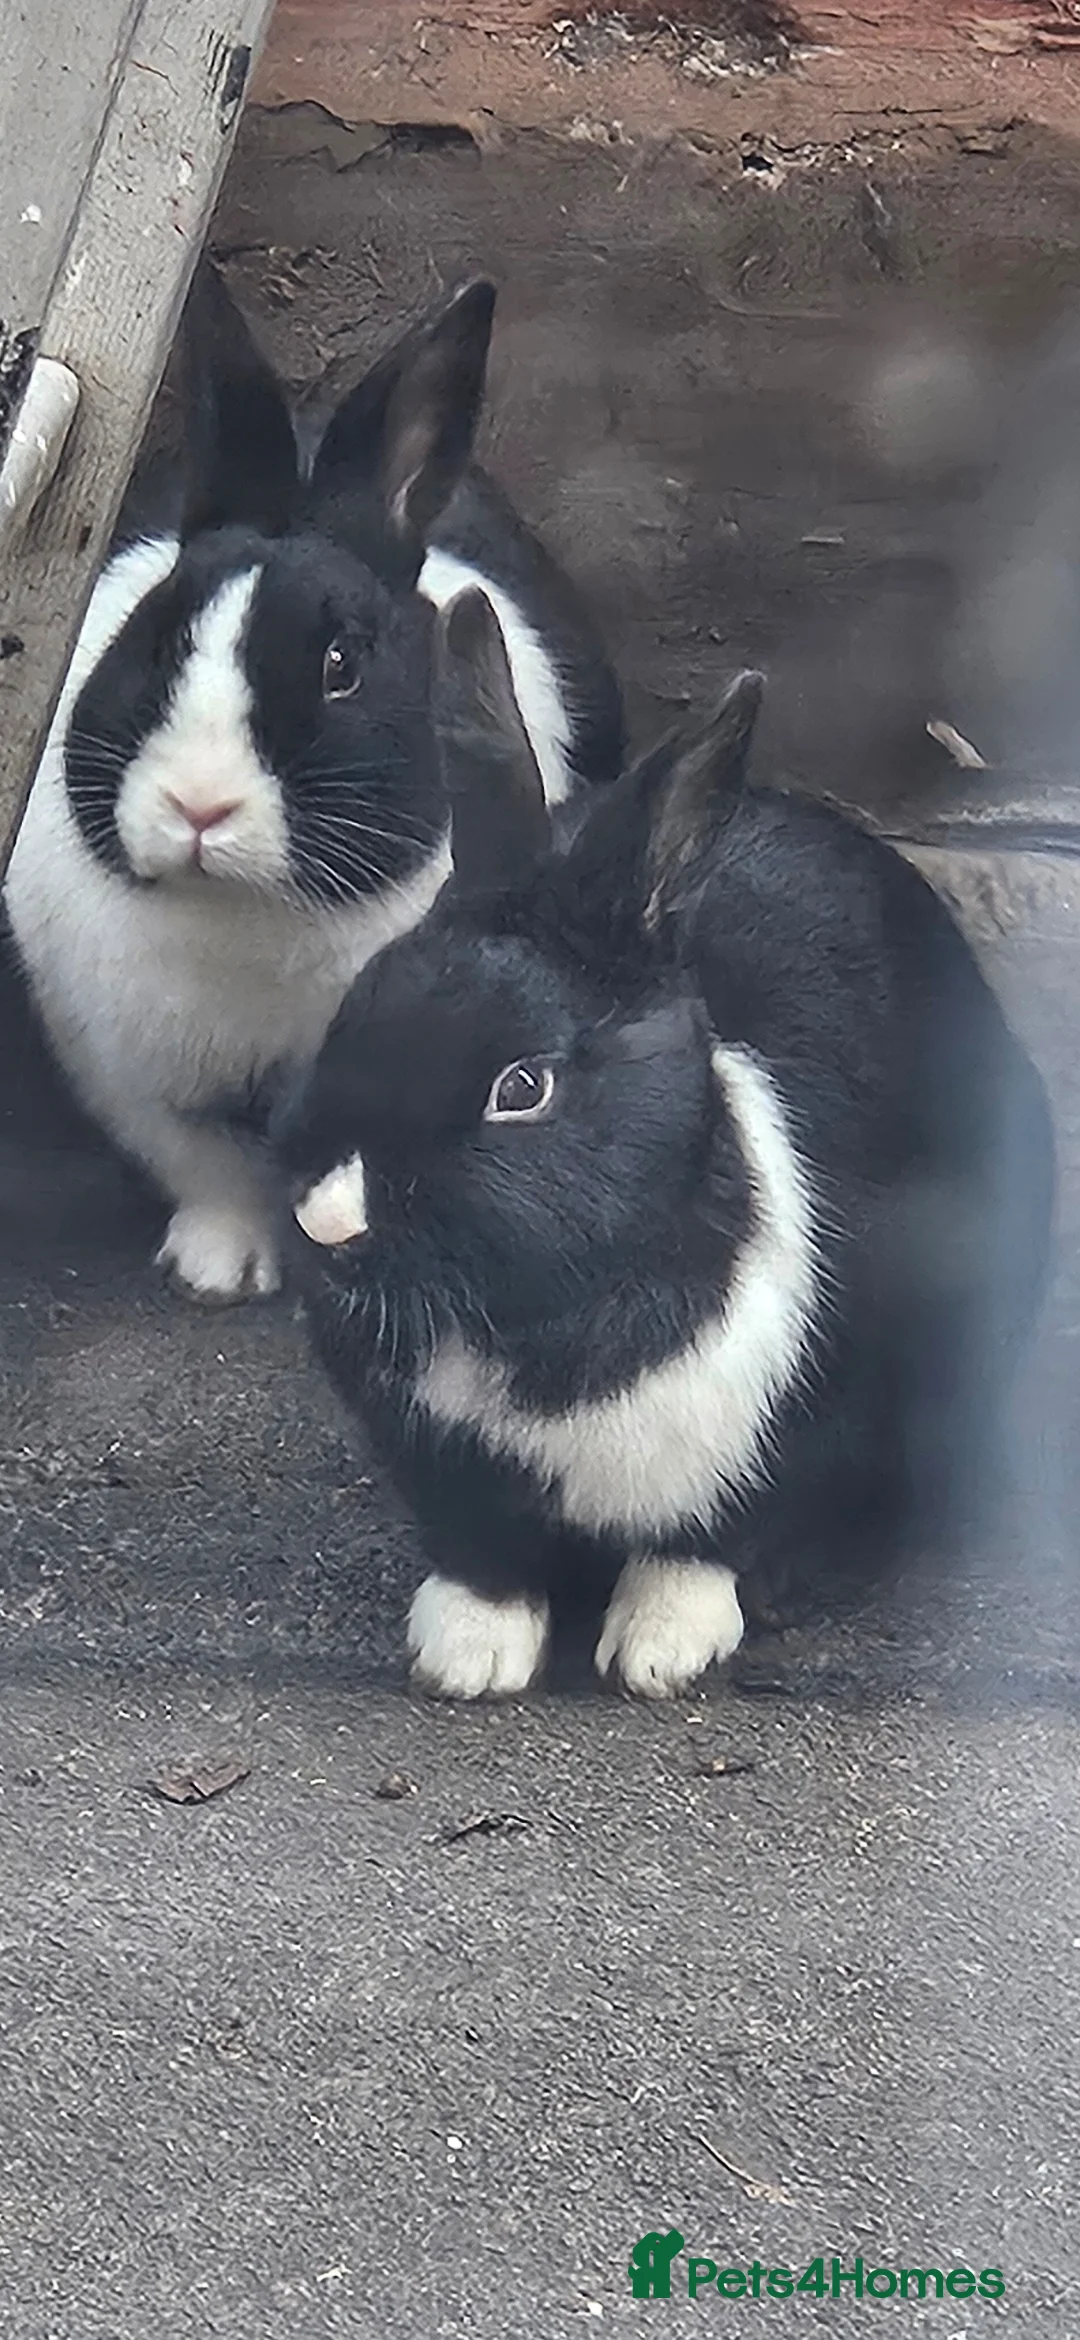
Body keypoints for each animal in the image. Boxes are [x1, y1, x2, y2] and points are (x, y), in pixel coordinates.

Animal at [3, 266, 623, 1304]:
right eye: (156, 637)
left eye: (343, 665)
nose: (198, 806)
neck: (248, 912)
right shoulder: (132, 1075)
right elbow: (208, 1167)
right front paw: (219, 1270)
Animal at [276, 590, 1055, 1701]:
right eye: (357, 1007)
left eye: (522, 1087)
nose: (326, 1219)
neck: (537, 1324)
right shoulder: (449, 1477)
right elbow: (485, 1556)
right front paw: (467, 1658)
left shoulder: (787, 1440)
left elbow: (700, 1546)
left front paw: (658, 1651)